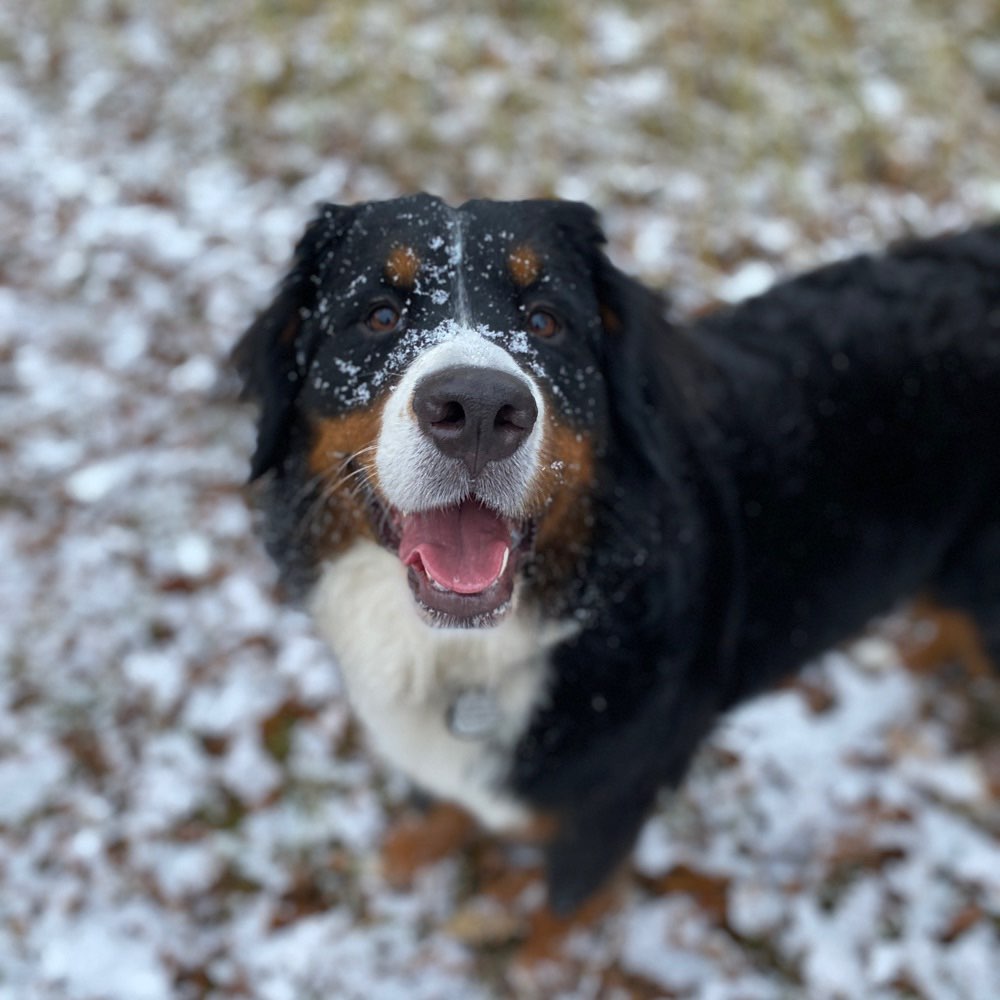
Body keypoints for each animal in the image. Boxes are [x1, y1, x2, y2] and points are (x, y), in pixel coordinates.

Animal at [232, 195, 1000, 916]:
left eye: (546, 321)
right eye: (380, 314)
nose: (478, 408)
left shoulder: (608, 815)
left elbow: (559, 921)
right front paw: (407, 853)